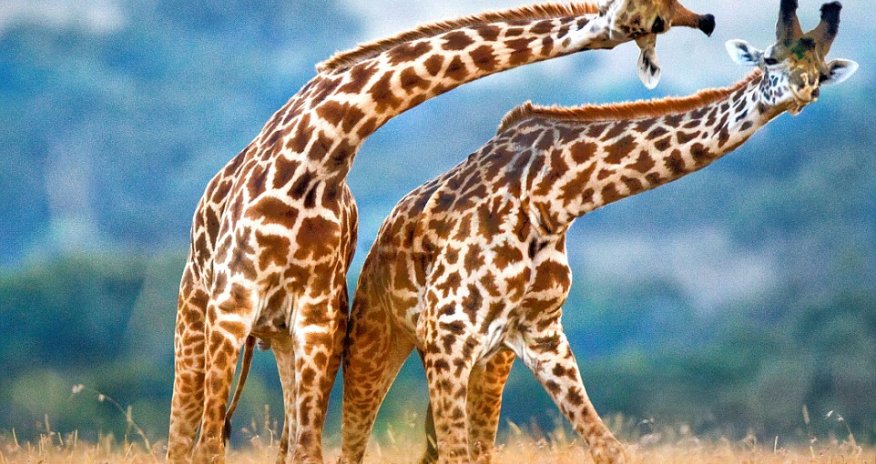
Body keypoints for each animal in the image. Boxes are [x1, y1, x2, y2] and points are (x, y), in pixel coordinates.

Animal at [166, 1, 717, 463]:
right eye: (655, 17)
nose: (706, 20)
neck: (318, 156)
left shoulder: (317, 318)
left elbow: (306, 448)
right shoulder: (233, 304)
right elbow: (207, 446)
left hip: (287, 336)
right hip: (200, 316)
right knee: (184, 434)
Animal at [340, 2, 858, 463]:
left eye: (820, 71)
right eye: (770, 59)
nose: (803, 92)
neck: (554, 199)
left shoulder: (541, 334)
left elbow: (609, 447)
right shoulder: (449, 333)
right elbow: (455, 454)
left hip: (488, 360)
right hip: (377, 335)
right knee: (350, 440)